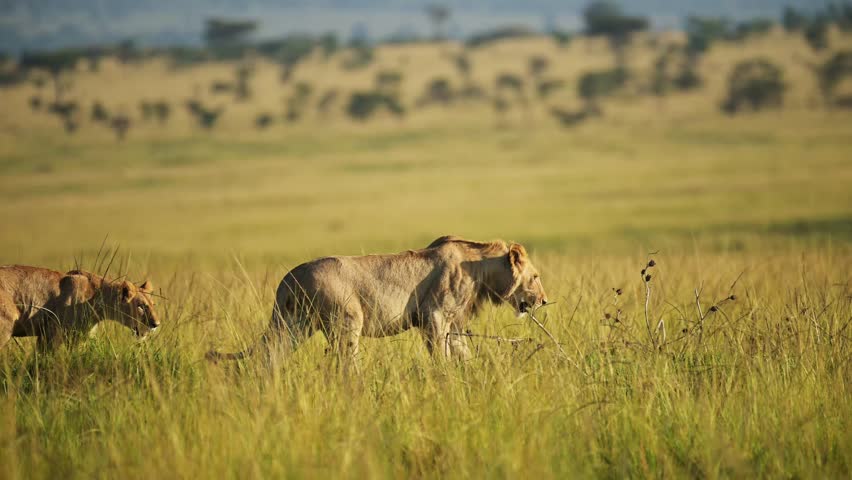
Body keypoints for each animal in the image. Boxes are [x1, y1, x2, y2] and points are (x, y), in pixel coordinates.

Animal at [207, 235, 548, 368]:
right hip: (346, 321)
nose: (545, 301)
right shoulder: (434, 316)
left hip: (294, 325)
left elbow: (462, 352)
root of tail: (289, 278)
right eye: (535, 276)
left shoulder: (454, 321)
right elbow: (441, 355)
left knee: (271, 357)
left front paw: (471, 375)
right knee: (346, 364)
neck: (479, 267)